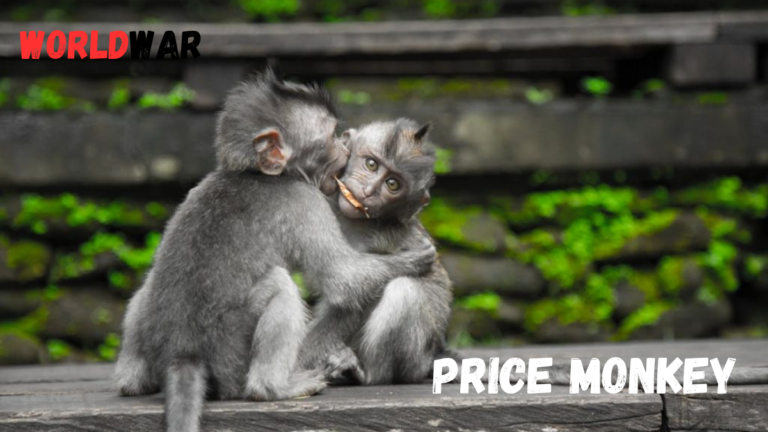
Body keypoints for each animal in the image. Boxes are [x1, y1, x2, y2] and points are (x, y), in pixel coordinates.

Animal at [114, 71, 437, 432]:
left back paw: (132, 382)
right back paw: (274, 388)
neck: (254, 173)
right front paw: (415, 258)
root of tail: (183, 353)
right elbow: (345, 281)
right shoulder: (304, 201)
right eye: (330, 137)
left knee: (147, 289)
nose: (343, 145)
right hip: (232, 356)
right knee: (280, 287)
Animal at [297, 118, 459, 385]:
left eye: (392, 184)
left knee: (403, 291)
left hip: (415, 360)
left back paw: (365, 373)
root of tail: (436, 354)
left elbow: (350, 298)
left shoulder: (382, 238)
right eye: (371, 165)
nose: (368, 191)